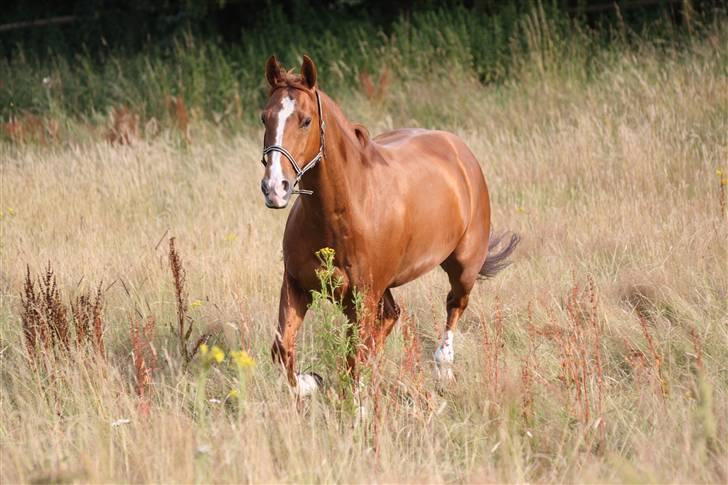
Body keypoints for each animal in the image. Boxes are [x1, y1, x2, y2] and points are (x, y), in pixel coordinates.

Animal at [262, 54, 516, 394]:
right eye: (265, 118)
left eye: (305, 121)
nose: (275, 187)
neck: (342, 212)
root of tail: (458, 149)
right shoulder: (297, 285)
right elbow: (282, 348)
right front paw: (309, 382)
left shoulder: (364, 297)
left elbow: (354, 355)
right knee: (390, 317)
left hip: (463, 267)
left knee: (454, 304)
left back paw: (443, 366)